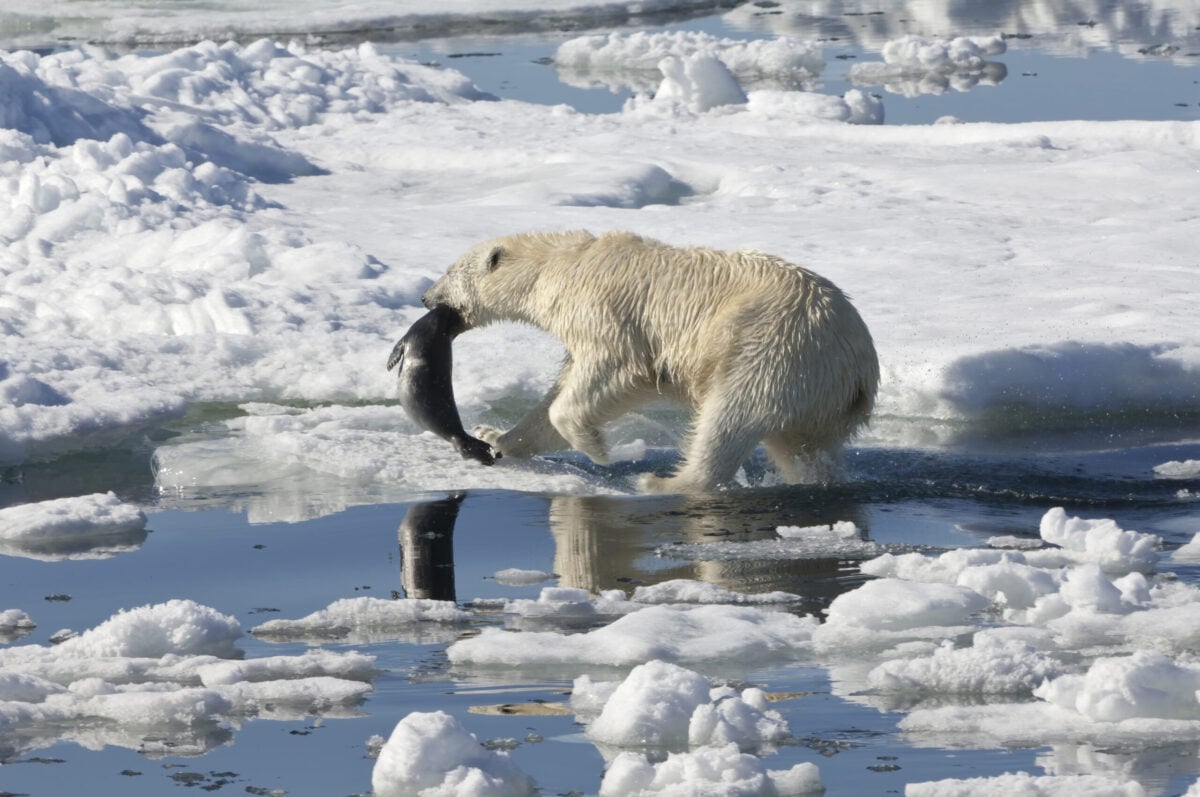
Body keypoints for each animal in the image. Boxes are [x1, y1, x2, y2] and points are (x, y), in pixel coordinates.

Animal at [421, 230, 879, 493]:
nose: (425, 297)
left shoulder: (606, 312)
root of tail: (858, 365)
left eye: (449, 270)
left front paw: (597, 449)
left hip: (771, 348)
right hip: (819, 396)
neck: (564, 264)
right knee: (804, 448)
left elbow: (607, 372)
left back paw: (662, 482)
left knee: (732, 414)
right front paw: (495, 436)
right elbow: (565, 389)